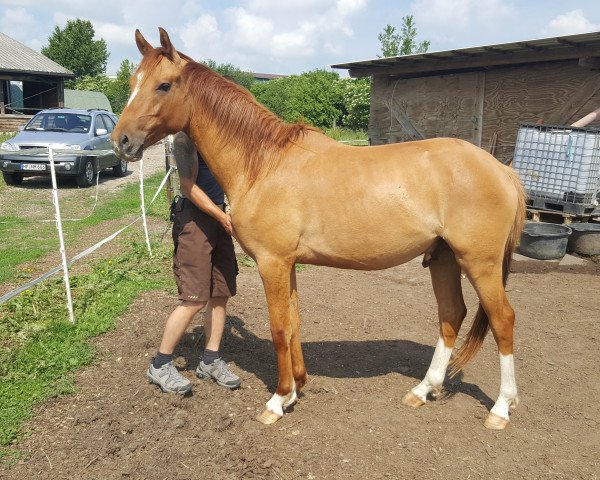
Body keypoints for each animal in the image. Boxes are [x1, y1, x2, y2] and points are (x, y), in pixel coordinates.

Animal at [111, 28, 524, 430]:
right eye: (133, 82)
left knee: (503, 321)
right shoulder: (288, 264)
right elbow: (294, 321)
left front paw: (277, 401)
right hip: (443, 258)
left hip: (480, 263)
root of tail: (501, 169)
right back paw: (423, 390)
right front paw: (295, 388)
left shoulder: (272, 263)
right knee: (451, 316)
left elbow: (280, 328)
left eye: (163, 85)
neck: (264, 163)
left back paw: (501, 409)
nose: (121, 141)